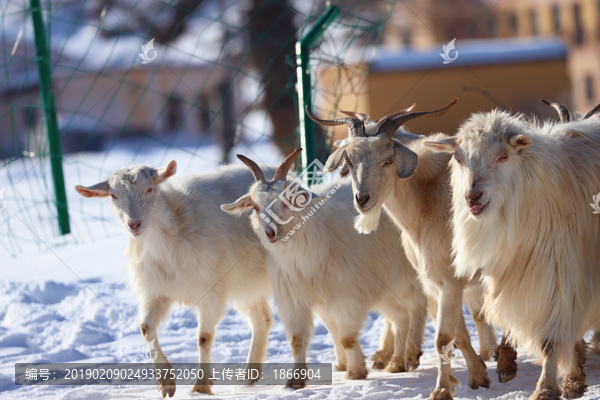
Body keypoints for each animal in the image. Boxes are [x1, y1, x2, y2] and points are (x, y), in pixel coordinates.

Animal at [73, 162, 274, 396]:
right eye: (114, 195)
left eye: (149, 189)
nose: (134, 224)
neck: (177, 226)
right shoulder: (157, 292)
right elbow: (146, 328)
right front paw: (167, 382)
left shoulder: (212, 290)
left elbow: (203, 338)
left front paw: (201, 386)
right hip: (246, 282)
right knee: (262, 319)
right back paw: (249, 376)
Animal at [220, 150, 426, 388]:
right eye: (255, 207)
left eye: (288, 201)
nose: (270, 232)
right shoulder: (296, 299)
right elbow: (298, 340)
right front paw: (295, 381)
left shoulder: (348, 295)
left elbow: (347, 338)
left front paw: (355, 372)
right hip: (386, 286)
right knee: (400, 317)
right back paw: (395, 363)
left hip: (404, 277)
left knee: (416, 308)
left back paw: (409, 355)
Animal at [310, 101, 516, 400]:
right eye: (349, 161)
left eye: (388, 160)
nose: (362, 199)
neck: (425, 206)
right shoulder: (440, 283)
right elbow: (458, 335)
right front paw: (478, 376)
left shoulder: (450, 282)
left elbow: (443, 339)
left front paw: (441, 390)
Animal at [422, 106, 600, 400]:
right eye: (458, 158)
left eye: (503, 155)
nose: (472, 196)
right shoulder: (512, 273)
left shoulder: (561, 274)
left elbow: (553, 336)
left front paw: (548, 387)